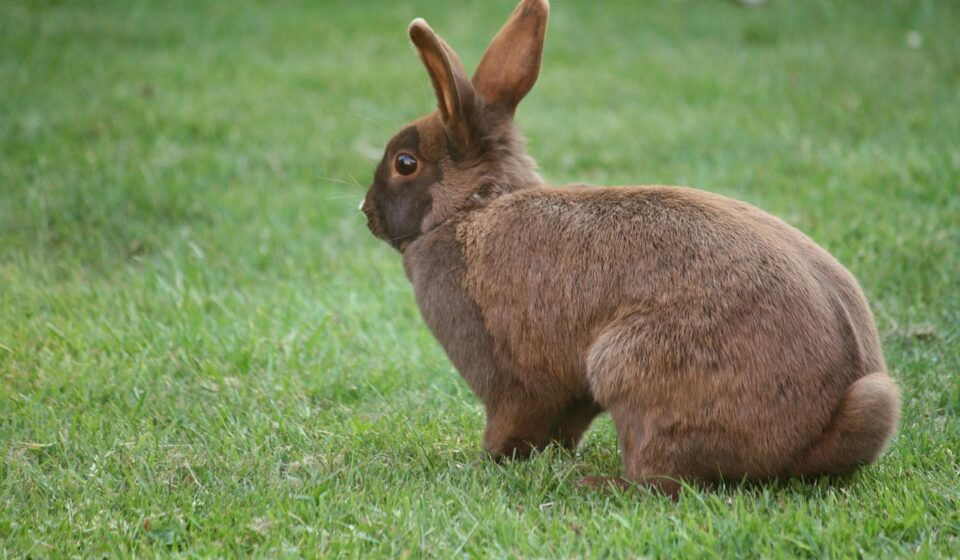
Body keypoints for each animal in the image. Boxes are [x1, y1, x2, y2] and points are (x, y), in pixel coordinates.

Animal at [360, 0, 900, 497]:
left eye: (405, 162)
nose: (366, 211)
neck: (469, 210)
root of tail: (816, 435)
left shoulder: (509, 374)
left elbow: (513, 422)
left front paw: (484, 462)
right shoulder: (568, 393)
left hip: (629, 368)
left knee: (660, 478)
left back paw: (597, 484)